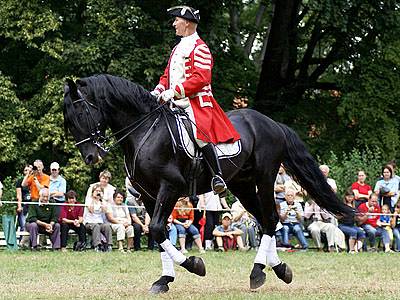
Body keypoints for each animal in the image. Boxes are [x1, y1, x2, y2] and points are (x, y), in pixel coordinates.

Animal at [64, 74, 354, 292]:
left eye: (82, 112)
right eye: (69, 122)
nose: (90, 156)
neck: (145, 131)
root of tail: (272, 123)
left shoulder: (169, 187)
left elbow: (157, 229)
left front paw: (194, 265)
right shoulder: (148, 196)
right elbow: (158, 232)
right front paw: (164, 280)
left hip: (264, 178)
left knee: (271, 219)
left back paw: (259, 271)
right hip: (242, 186)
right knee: (266, 222)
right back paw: (276, 268)